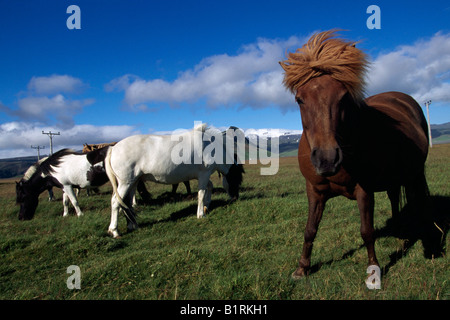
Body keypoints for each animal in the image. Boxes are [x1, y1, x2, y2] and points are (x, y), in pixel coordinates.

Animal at [103, 124, 244, 239]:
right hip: (125, 183)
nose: (235, 198)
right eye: (236, 179)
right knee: (115, 202)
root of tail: (113, 148)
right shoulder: (204, 174)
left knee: (127, 203)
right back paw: (114, 231)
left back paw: (132, 225)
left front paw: (206, 206)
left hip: (133, 182)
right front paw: (201, 214)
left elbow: (209, 187)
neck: (210, 148)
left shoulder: (202, 176)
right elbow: (201, 194)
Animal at [280, 30, 430, 290]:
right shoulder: (314, 191)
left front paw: (374, 272)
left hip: (414, 174)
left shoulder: (364, 190)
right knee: (394, 196)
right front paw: (302, 268)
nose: (327, 159)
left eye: (343, 97)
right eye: (300, 99)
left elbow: (367, 231)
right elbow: (310, 230)